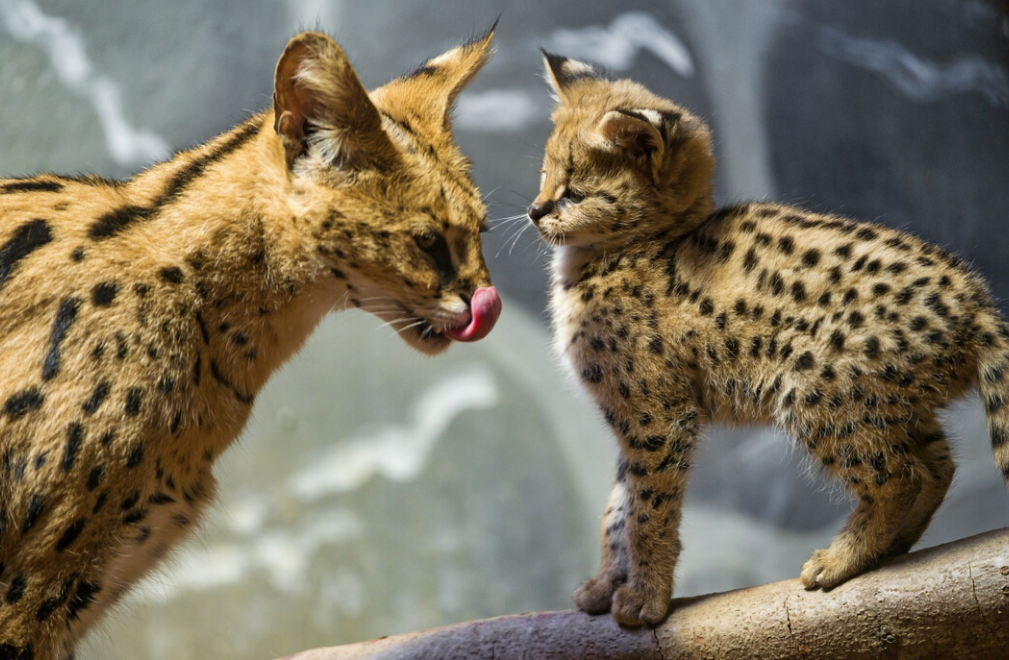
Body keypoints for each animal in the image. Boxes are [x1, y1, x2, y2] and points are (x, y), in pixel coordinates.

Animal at [528, 54, 1008, 629]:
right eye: (544, 175)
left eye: (574, 191)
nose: (533, 211)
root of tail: (973, 300)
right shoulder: (634, 421)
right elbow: (616, 510)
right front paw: (606, 585)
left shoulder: (657, 416)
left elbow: (646, 511)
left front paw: (645, 599)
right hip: (884, 401)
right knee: (938, 465)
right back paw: (892, 547)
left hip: (816, 390)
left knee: (899, 476)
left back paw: (840, 558)